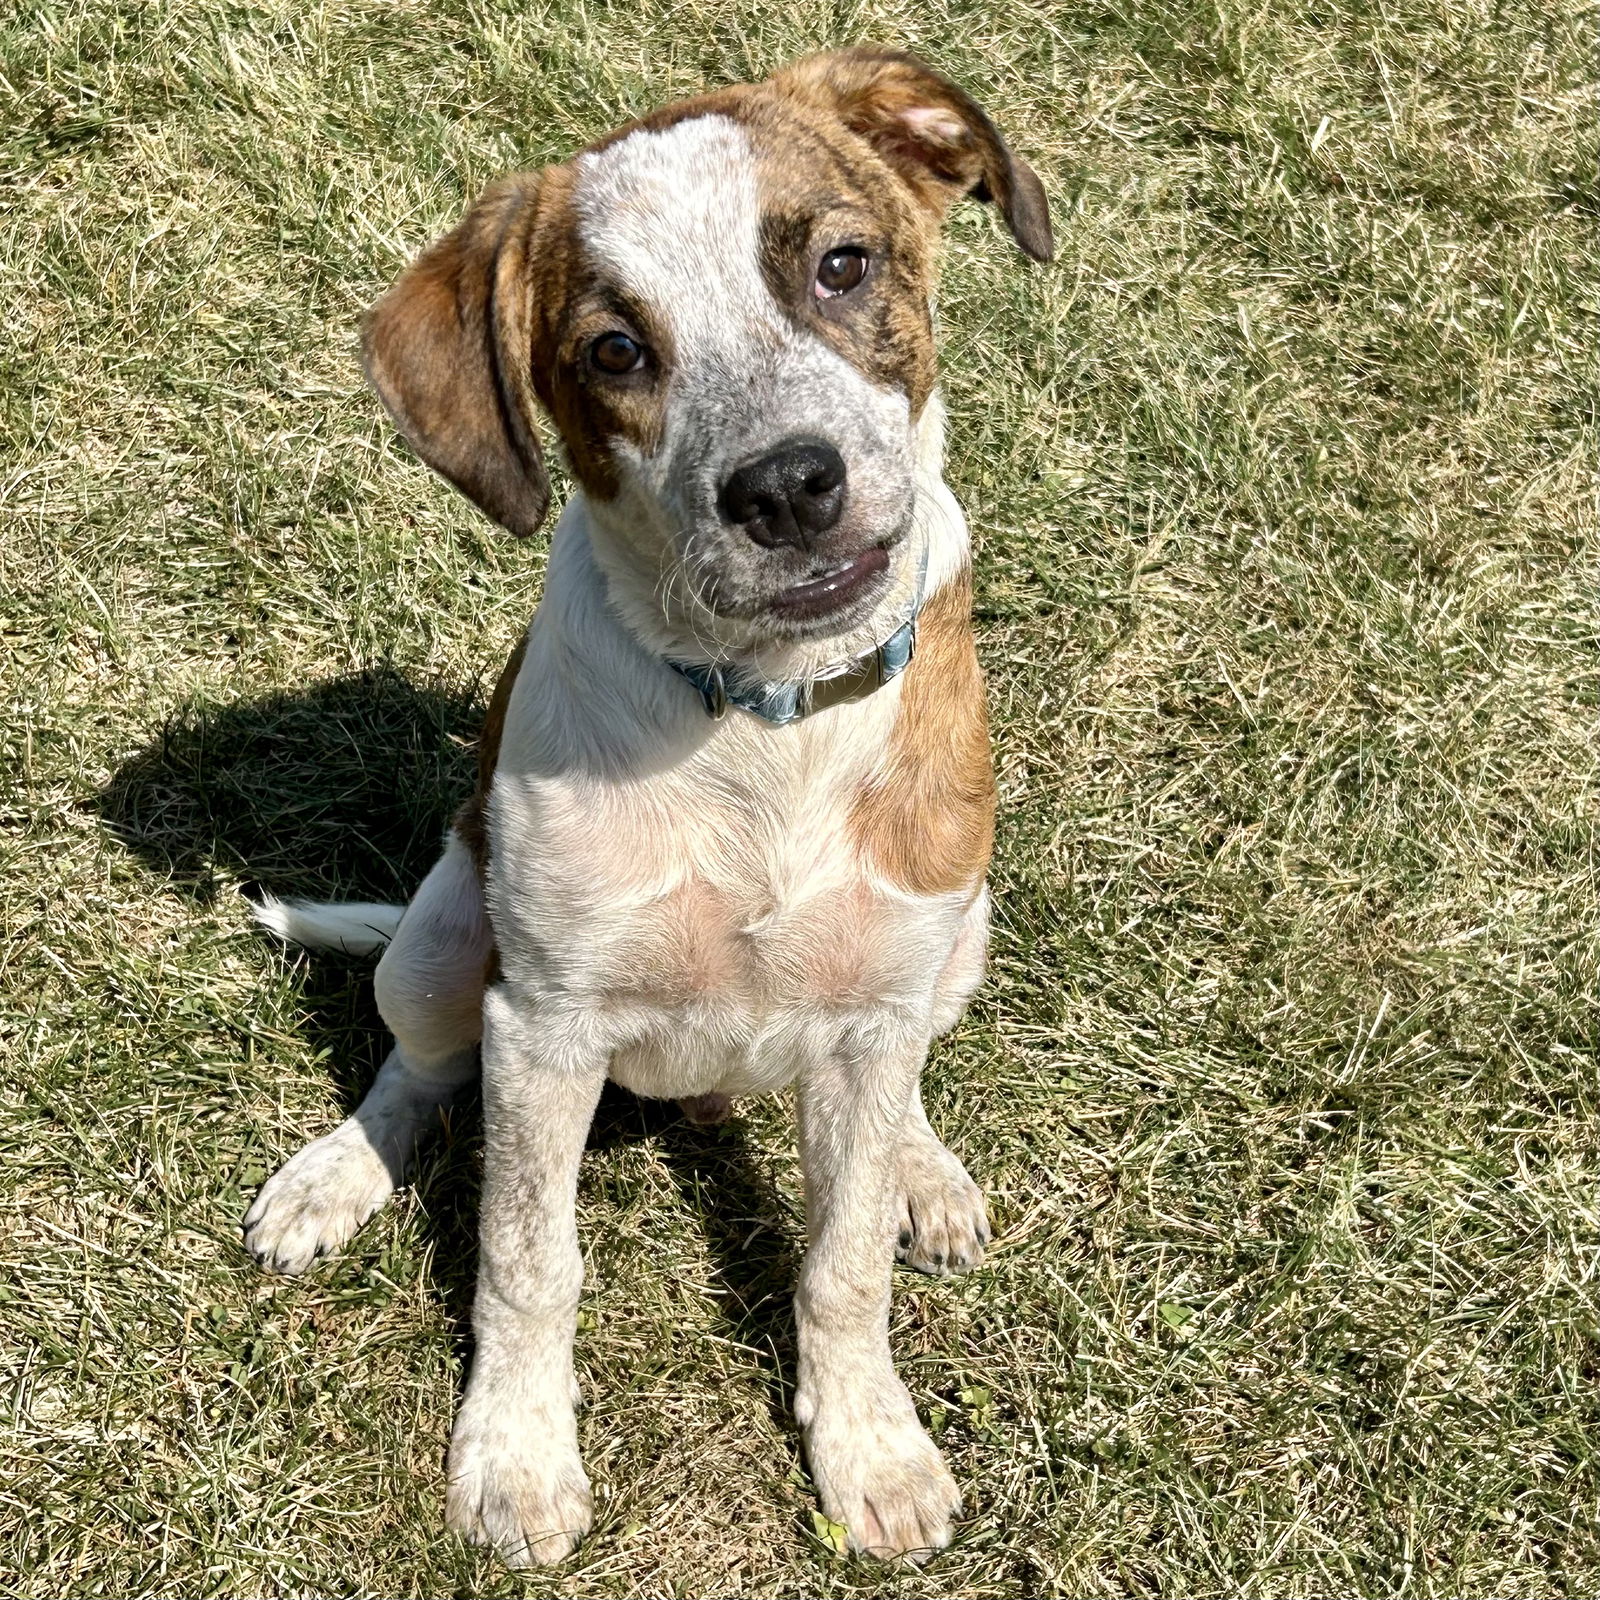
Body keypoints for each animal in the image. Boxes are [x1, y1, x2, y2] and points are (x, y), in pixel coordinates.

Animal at [240, 46, 1049, 1561]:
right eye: (614, 352)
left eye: (843, 264)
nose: (787, 484)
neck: (765, 721)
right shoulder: (546, 1024)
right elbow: (525, 1257)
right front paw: (513, 1455)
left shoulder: (876, 1003)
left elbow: (843, 1265)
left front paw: (870, 1447)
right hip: (444, 935)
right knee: (414, 1067)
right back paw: (338, 1172)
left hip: (962, 936)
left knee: (904, 1082)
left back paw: (924, 1171)